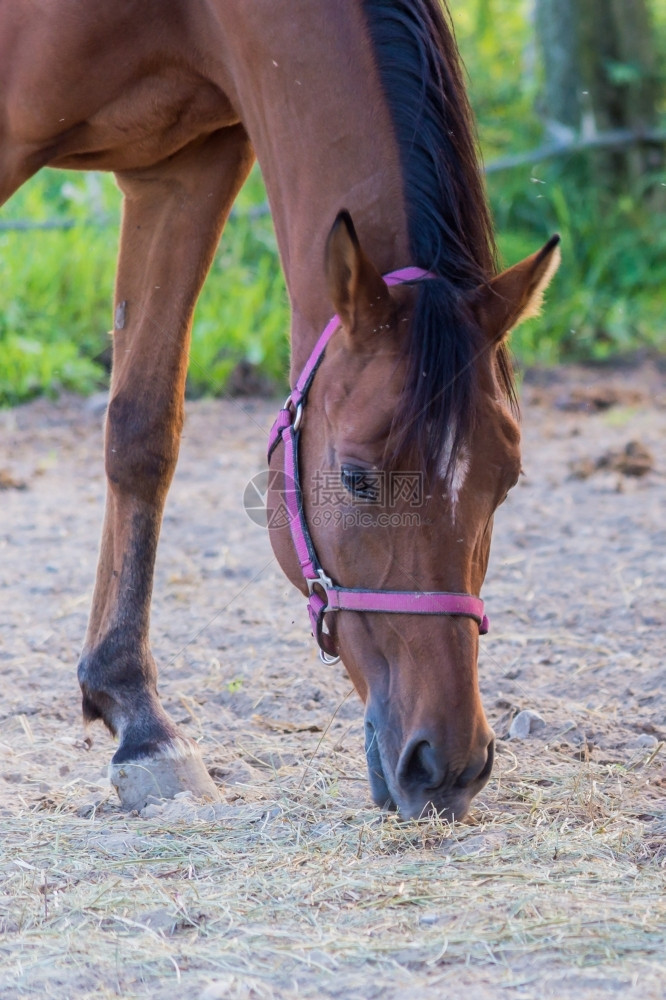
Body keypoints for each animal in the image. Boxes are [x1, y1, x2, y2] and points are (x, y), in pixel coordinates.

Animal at [2, 0, 556, 816]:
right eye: (357, 478)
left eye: (507, 481)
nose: (450, 765)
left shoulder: (186, 168)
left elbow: (141, 431)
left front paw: (135, 714)